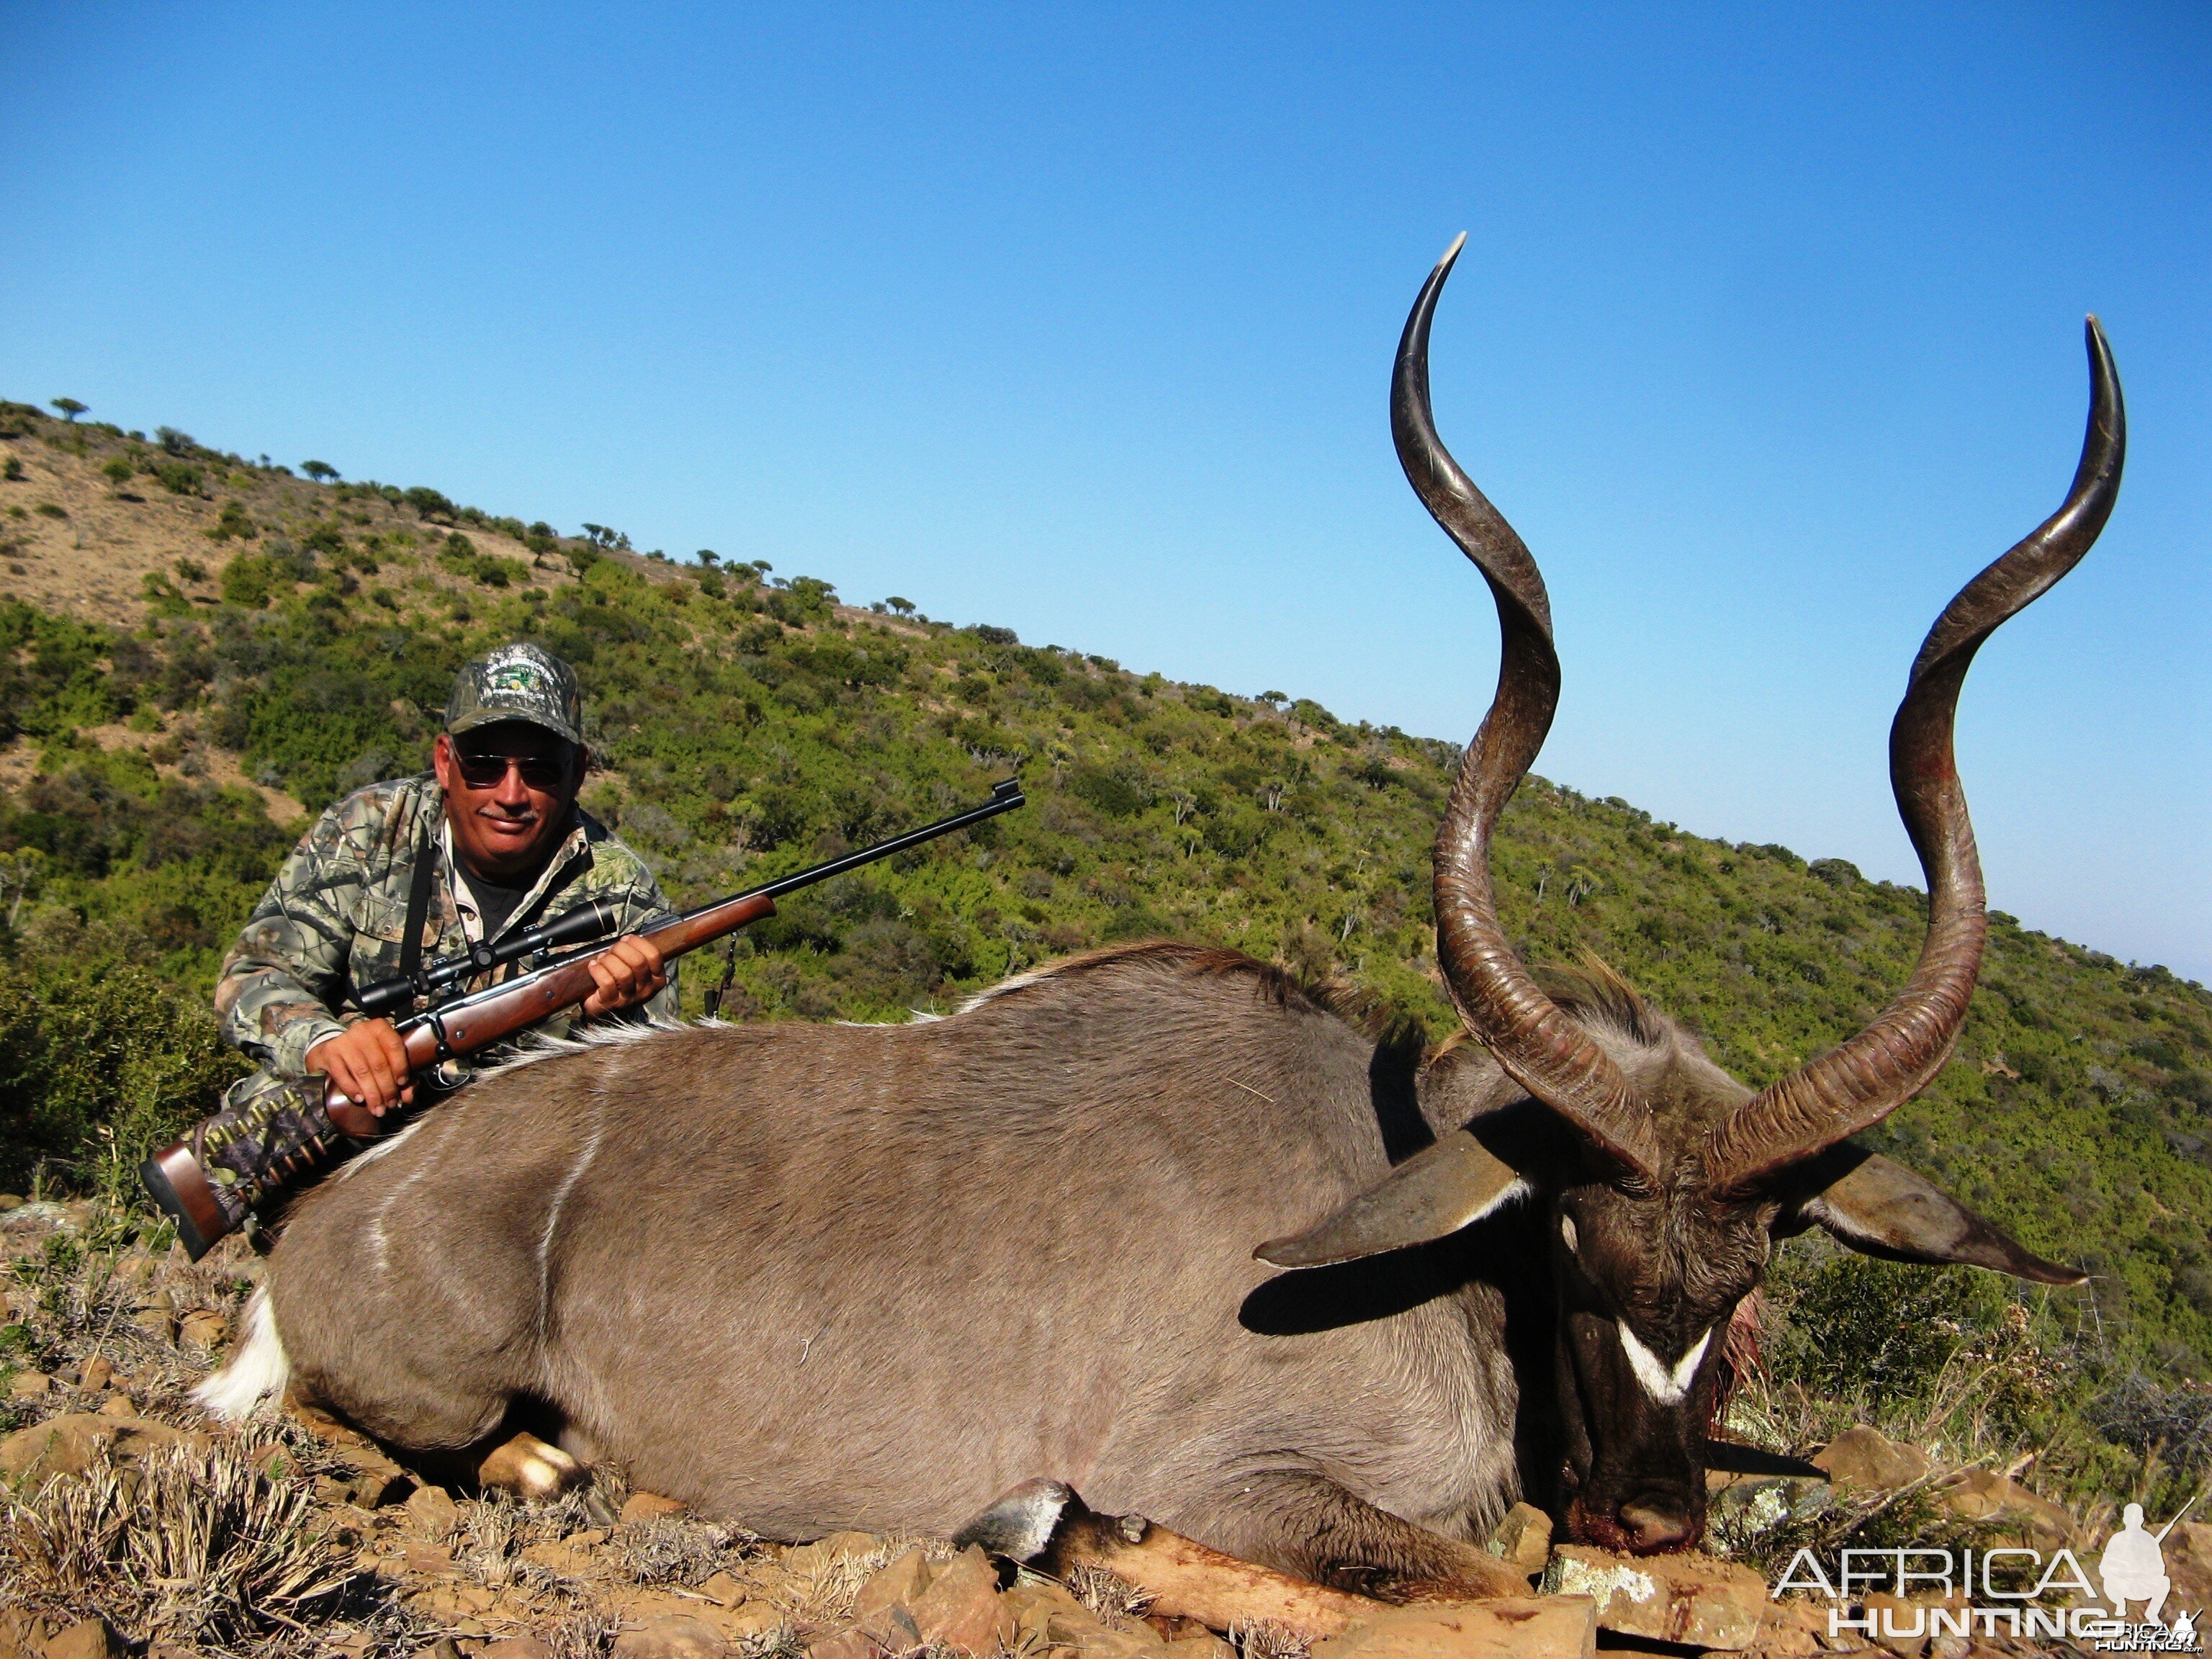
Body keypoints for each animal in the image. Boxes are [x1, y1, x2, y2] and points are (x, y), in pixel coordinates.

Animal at [207, 240, 2123, 1592]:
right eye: (1572, 1241)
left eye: (1756, 1274)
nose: (1649, 1520)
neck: (1403, 1216)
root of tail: (334, 1215)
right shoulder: (1250, 1487)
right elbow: (1468, 1583)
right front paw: (1060, 1530)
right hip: (438, 1381)